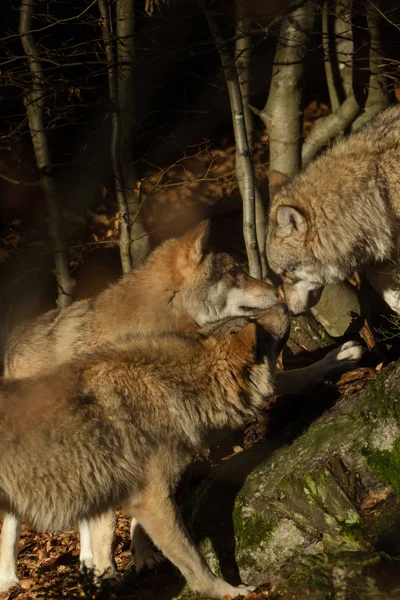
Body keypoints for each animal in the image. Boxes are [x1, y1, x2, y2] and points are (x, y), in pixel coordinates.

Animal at [0, 308, 292, 596]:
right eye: (255, 324)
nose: (284, 307)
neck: (170, 388)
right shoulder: (151, 498)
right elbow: (194, 561)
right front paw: (228, 591)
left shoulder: (127, 493)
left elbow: (118, 532)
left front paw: (121, 568)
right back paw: (9, 582)